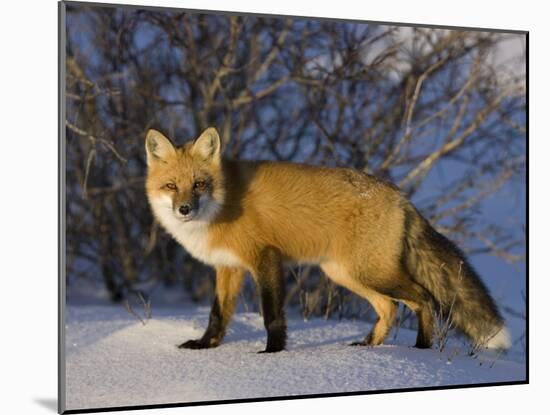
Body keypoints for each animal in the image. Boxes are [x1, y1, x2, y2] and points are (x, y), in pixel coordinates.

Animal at [144, 127, 512, 354]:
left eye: (199, 184)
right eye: (172, 186)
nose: (185, 209)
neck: (222, 205)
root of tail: (401, 196)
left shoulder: (266, 258)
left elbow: (271, 314)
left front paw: (271, 353)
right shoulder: (228, 267)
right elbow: (217, 315)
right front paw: (206, 346)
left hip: (369, 273)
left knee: (422, 299)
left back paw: (421, 349)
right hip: (346, 274)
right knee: (390, 308)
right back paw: (369, 346)